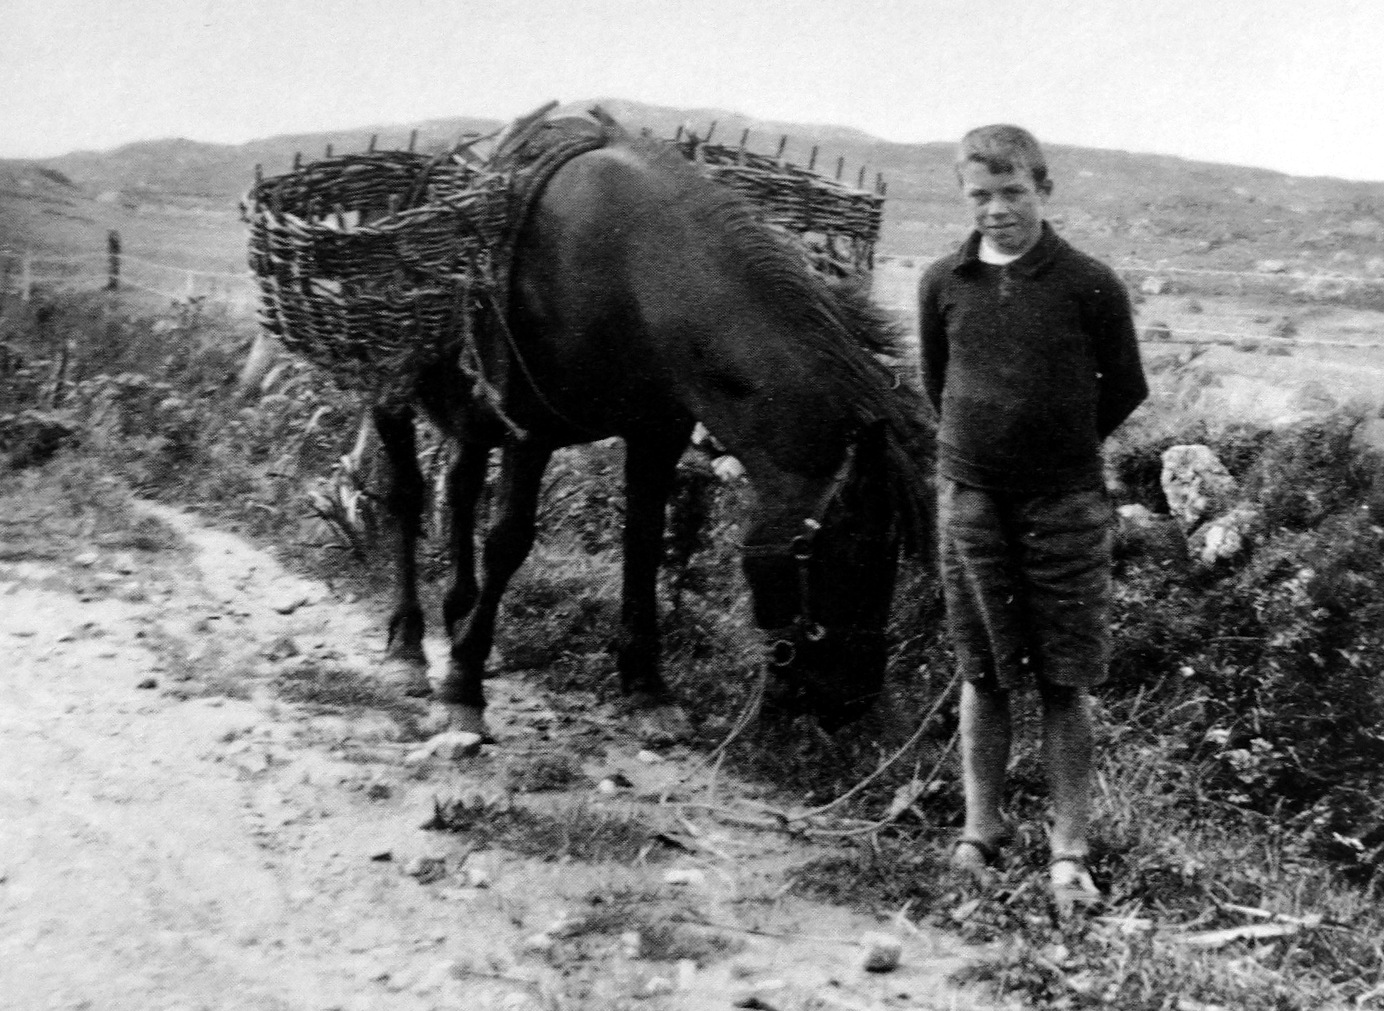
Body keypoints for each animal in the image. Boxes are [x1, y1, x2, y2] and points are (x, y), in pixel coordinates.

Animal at [373, 130, 935, 736]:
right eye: (848, 555)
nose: (854, 700)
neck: (632, 277)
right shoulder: (530, 435)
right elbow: (508, 543)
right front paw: (463, 686)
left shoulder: (656, 438)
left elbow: (643, 542)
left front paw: (646, 686)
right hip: (390, 396)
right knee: (406, 493)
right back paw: (407, 642)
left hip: (471, 420)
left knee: (458, 488)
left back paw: (456, 612)